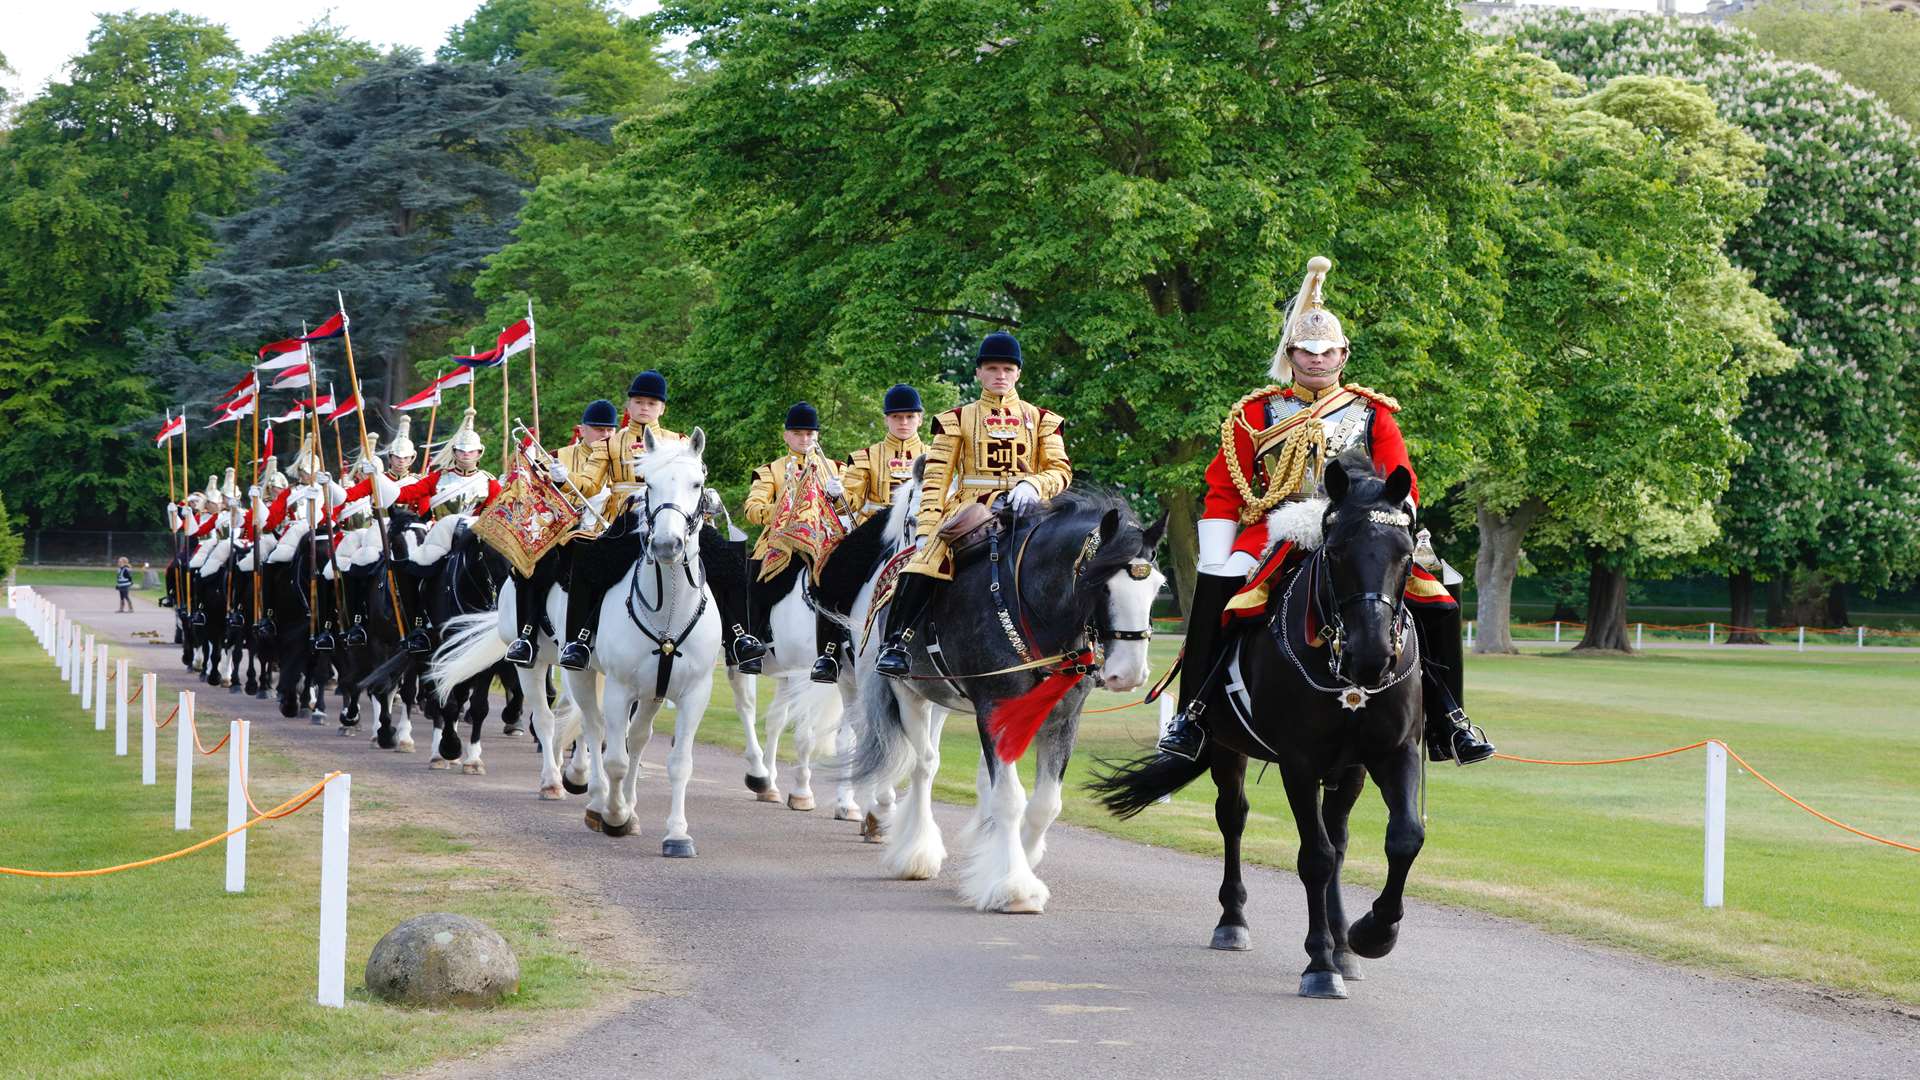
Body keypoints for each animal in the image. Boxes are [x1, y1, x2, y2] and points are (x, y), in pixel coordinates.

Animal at [1098, 449, 1428, 999]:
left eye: (1405, 554)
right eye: (1337, 552)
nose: (1372, 657)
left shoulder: (1392, 751)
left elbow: (1403, 837)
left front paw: (1370, 934)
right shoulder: (1299, 762)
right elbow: (1314, 857)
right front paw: (1320, 964)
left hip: (1350, 769)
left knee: (1339, 838)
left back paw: (1344, 944)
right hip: (1227, 748)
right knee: (1234, 817)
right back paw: (1234, 921)